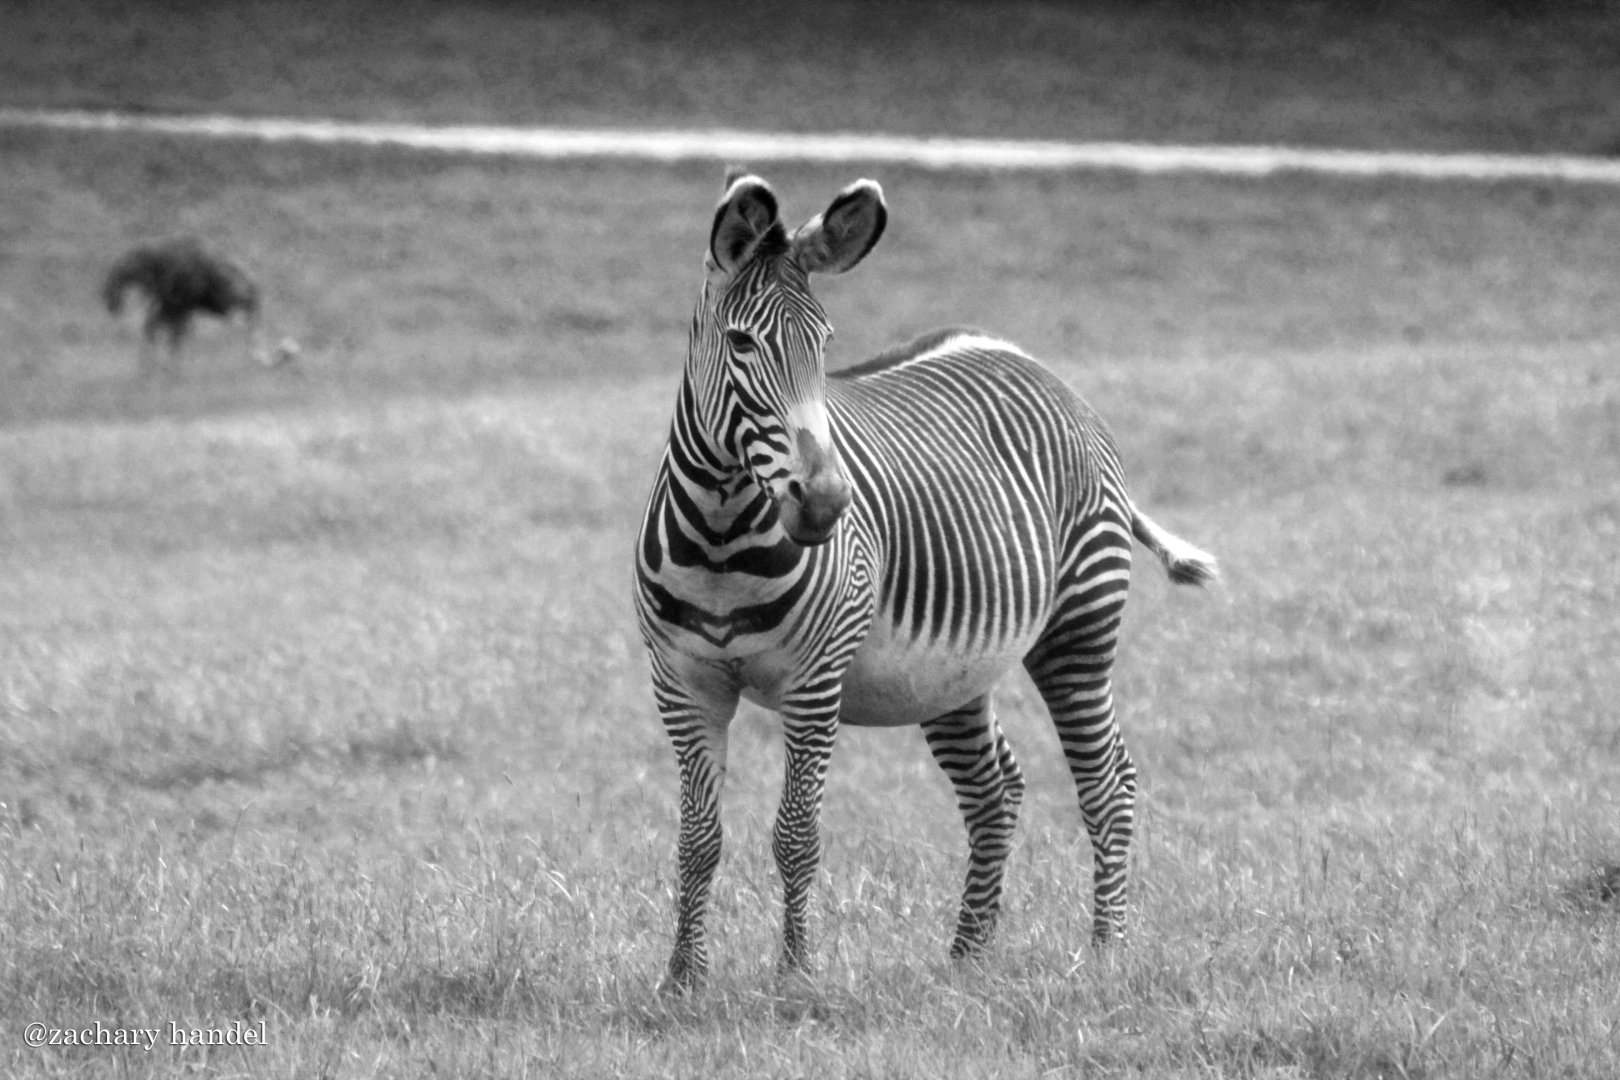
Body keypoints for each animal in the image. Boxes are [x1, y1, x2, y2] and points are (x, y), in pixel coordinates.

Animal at [634, 172, 1217, 994]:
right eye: (741, 343)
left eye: (826, 343)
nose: (826, 503)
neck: (722, 536)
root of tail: (1032, 360)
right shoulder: (684, 683)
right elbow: (698, 838)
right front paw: (683, 980)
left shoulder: (814, 685)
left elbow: (796, 834)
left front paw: (796, 976)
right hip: (950, 670)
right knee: (995, 790)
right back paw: (968, 956)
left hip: (1079, 625)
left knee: (1109, 783)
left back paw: (1106, 951)